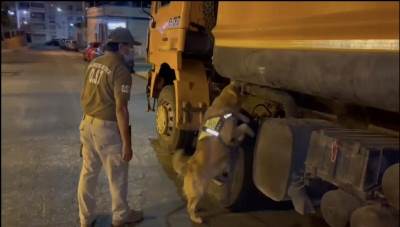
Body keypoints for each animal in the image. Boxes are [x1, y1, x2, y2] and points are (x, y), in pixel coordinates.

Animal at [171, 82, 253, 223]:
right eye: (241, 91)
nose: (246, 89)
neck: (222, 105)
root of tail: (187, 166)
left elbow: (240, 120)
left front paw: (245, 120)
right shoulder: (230, 133)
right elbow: (242, 127)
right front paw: (250, 132)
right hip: (199, 191)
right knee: (189, 206)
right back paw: (196, 218)